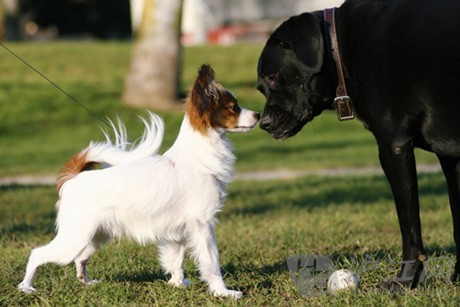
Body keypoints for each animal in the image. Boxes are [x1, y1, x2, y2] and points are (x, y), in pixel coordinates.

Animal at [18, 63, 258, 300]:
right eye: (234, 108)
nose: (257, 114)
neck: (198, 157)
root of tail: (75, 177)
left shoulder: (178, 231)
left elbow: (176, 259)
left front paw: (178, 284)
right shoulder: (203, 225)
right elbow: (212, 263)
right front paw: (223, 292)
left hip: (95, 237)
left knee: (80, 258)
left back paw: (86, 282)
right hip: (73, 239)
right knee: (37, 254)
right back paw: (26, 287)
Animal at [256, 0, 460, 290]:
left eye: (273, 77)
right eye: (261, 87)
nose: (264, 124)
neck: (341, 46)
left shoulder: (393, 147)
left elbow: (409, 227)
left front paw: (405, 280)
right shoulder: (451, 157)